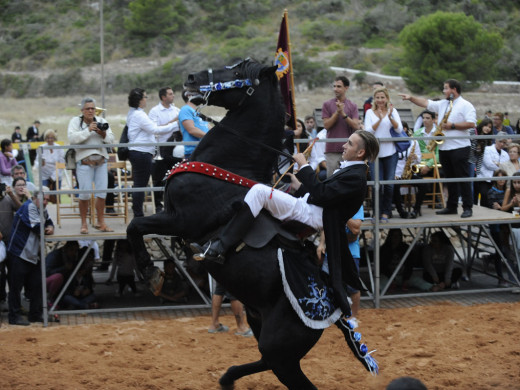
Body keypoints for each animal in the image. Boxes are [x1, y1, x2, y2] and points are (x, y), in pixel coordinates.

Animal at [127, 58, 376, 390]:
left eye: (236, 71)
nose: (190, 78)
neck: (226, 166)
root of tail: (336, 312)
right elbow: (136, 226)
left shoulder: (182, 220)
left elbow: (135, 226)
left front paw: (151, 274)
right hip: (263, 327)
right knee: (263, 360)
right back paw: (227, 377)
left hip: (280, 348)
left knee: (287, 372)